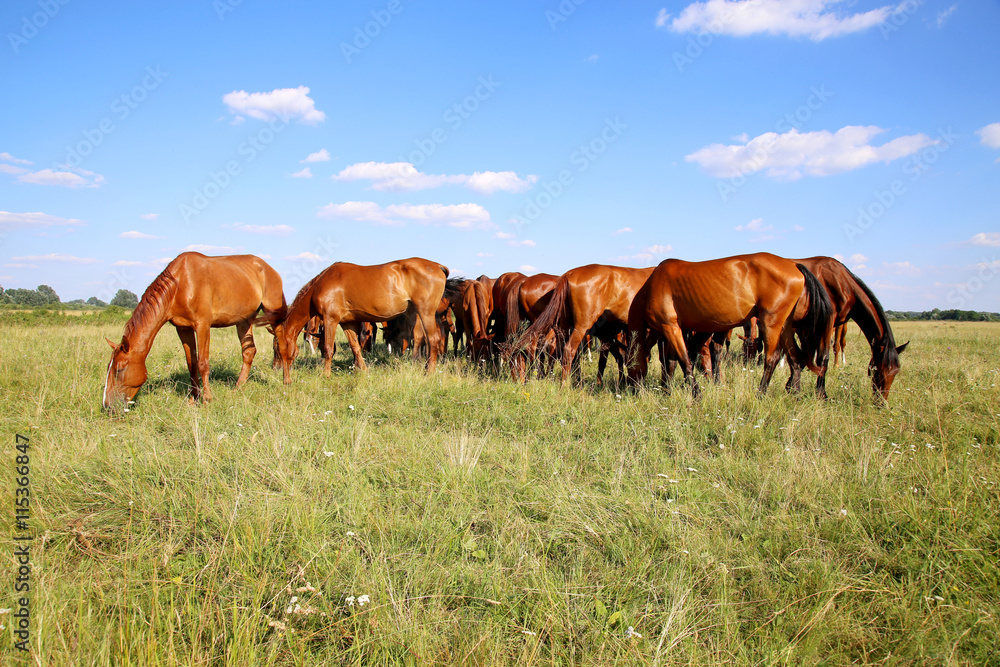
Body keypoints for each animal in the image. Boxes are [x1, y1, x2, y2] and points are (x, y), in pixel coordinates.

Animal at [102, 253, 286, 410]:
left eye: (119, 369)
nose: (107, 406)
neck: (179, 285)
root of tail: (268, 268)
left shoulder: (202, 325)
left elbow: (203, 364)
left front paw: (207, 399)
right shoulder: (183, 329)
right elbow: (192, 364)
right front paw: (193, 398)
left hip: (272, 313)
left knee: (283, 345)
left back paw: (286, 381)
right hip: (244, 321)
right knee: (249, 351)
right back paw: (238, 388)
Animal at [276, 258, 444, 384]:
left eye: (277, 348)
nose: (284, 377)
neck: (319, 286)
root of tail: (437, 266)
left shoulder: (330, 319)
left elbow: (328, 348)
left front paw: (325, 375)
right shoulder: (346, 323)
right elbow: (355, 347)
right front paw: (363, 370)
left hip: (426, 313)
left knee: (433, 339)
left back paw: (429, 372)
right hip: (416, 314)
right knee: (420, 339)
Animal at [628, 252, 832, 396]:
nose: (631, 387)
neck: (652, 286)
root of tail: (794, 265)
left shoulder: (670, 327)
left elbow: (684, 361)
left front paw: (696, 394)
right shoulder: (671, 330)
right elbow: (671, 363)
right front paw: (667, 392)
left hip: (771, 323)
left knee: (772, 359)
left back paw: (761, 394)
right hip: (785, 326)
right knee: (795, 358)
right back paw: (794, 393)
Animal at [784, 258, 912, 402]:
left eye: (896, 371)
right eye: (878, 371)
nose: (881, 403)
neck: (842, 283)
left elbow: (804, 356)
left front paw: (790, 386)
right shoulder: (826, 324)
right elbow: (822, 358)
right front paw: (822, 394)